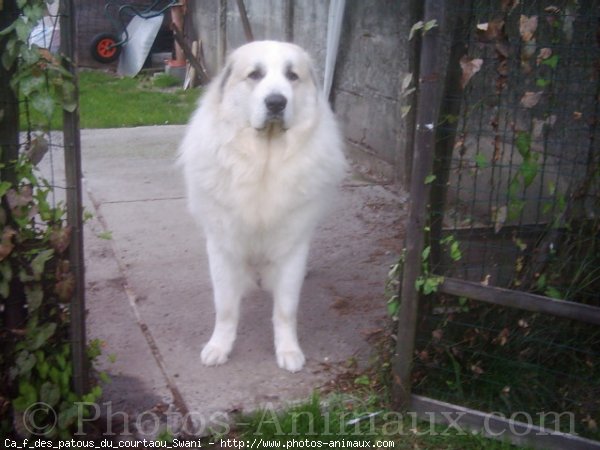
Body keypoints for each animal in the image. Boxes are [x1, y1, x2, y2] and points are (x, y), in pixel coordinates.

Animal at [179, 41, 346, 372]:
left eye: (292, 76)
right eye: (254, 75)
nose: (276, 102)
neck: (263, 162)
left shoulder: (292, 247)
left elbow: (285, 309)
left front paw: (289, 350)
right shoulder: (223, 246)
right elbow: (225, 307)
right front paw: (219, 347)